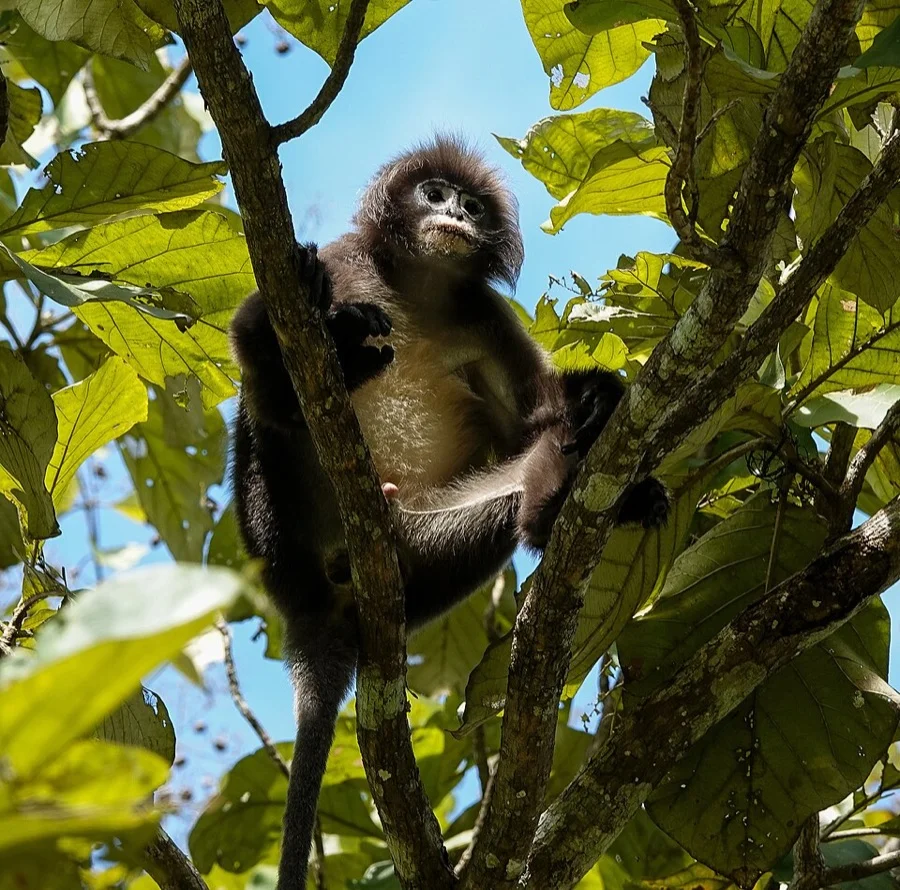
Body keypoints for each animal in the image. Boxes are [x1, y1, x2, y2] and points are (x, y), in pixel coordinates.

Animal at [229, 136, 669, 889]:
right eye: (433, 194)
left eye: (472, 205)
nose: (457, 214)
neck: (417, 289)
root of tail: (314, 609)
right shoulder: (347, 257)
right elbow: (247, 325)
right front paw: (318, 304)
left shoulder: (486, 316)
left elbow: (529, 424)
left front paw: (596, 405)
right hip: (274, 527)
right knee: (265, 402)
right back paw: (324, 356)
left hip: (425, 548)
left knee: (516, 500)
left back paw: (556, 500)